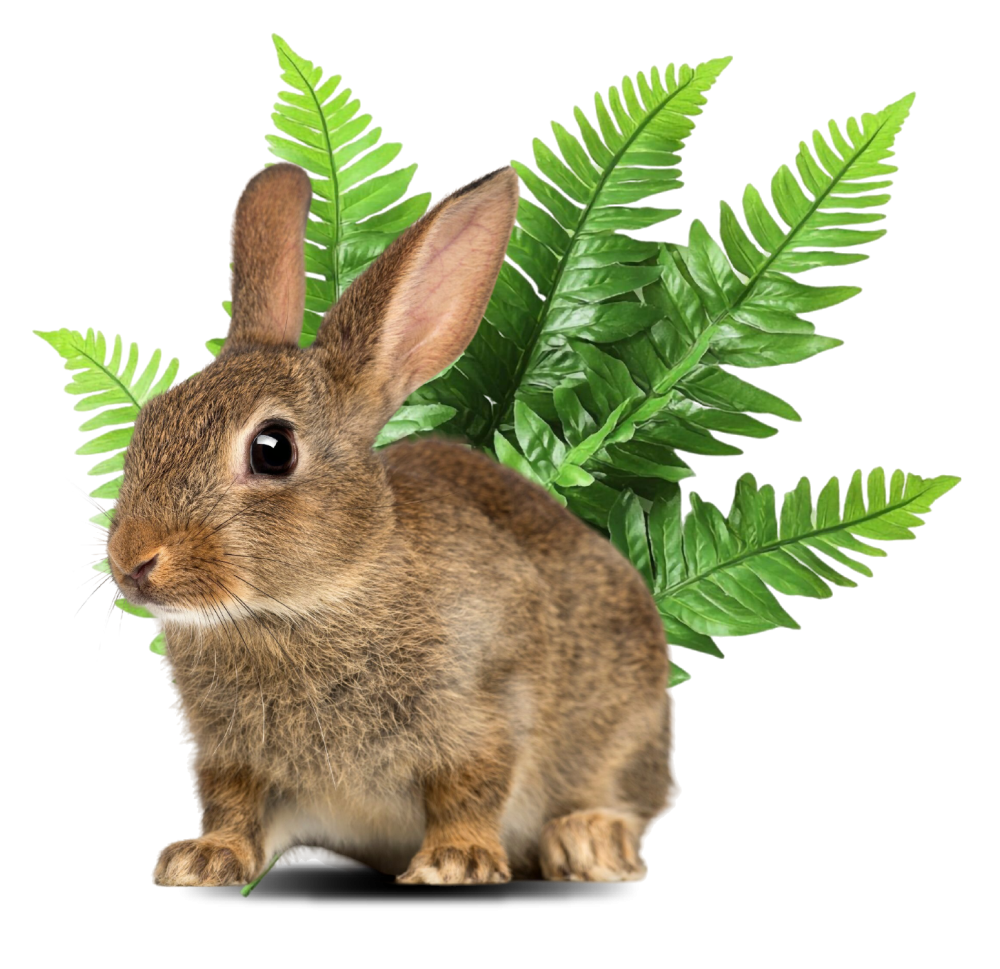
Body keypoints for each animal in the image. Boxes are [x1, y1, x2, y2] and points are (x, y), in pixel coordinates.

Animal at [106, 159, 680, 887]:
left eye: (272, 450)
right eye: (149, 422)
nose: (132, 559)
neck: (315, 599)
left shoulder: (486, 706)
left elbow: (472, 786)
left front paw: (455, 861)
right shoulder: (228, 757)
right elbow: (231, 805)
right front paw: (204, 858)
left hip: (625, 728)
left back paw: (589, 841)